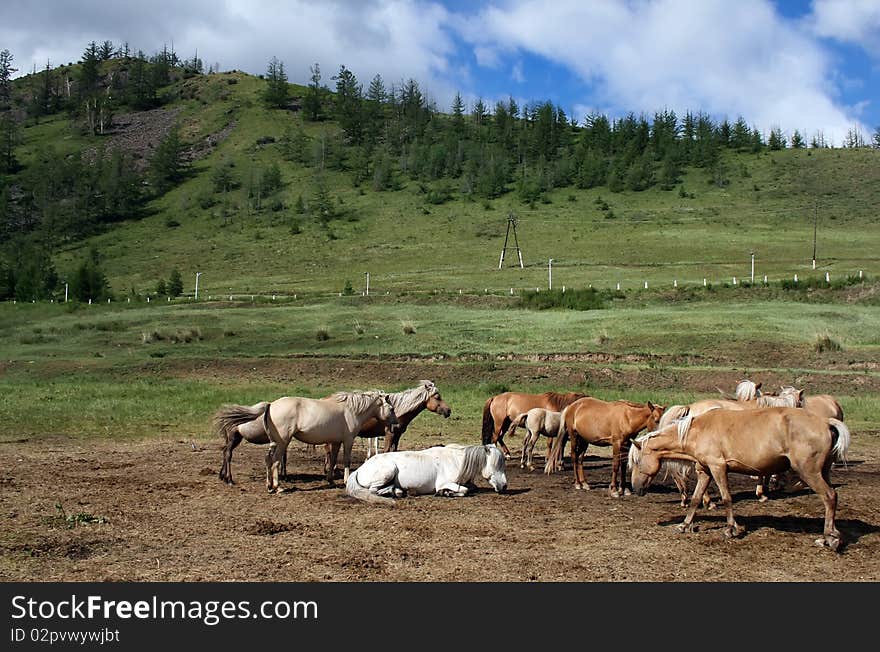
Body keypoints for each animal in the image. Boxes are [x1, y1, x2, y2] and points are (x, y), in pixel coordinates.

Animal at [262, 390, 398, 492]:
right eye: (391, 408)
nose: (396, 424)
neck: (352, 410)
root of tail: (271, 405)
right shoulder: (348, 440)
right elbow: (346, 460)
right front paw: (346, 480)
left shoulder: (336, 442)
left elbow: (333, 460)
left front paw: (331, 480)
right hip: (282, 442)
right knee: (275, 461)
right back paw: (278, 487)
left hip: (275, 443)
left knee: (268, 459)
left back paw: (269, 486)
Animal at [346, 444, 508, 504]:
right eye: (496, 464)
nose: (504, 486)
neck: (456, 461)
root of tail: (359, 469)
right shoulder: (444, 483)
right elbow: (464, 490)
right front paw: (445, 492)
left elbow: (471, 487)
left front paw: (447, 493)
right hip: (388, 471)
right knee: (373, 490)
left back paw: (399, 491)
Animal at [632, 408, 852, 552]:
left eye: (636, 461)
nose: (635, 488)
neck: (698, 430)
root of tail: (826, 422)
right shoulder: (705, 471)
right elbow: (695, 499)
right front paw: (685, 525)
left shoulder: (718, 468)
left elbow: (727, 498)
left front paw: (731, 529)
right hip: (823, 472)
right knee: (833, 497)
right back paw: (833, 535)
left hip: (809, 472)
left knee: (829, 497)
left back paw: (828, 538)